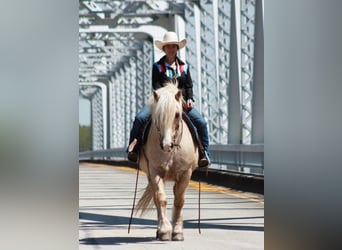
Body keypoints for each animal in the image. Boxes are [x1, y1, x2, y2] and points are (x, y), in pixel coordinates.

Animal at [134, 81, 198, 241]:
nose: (166, 145)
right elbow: (161, 199)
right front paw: (164, 230)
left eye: (177, 115)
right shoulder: (155, 171)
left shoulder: (185, 173)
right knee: (157, 199)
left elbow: (179, 200)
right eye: (157, 116)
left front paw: (177, 232)